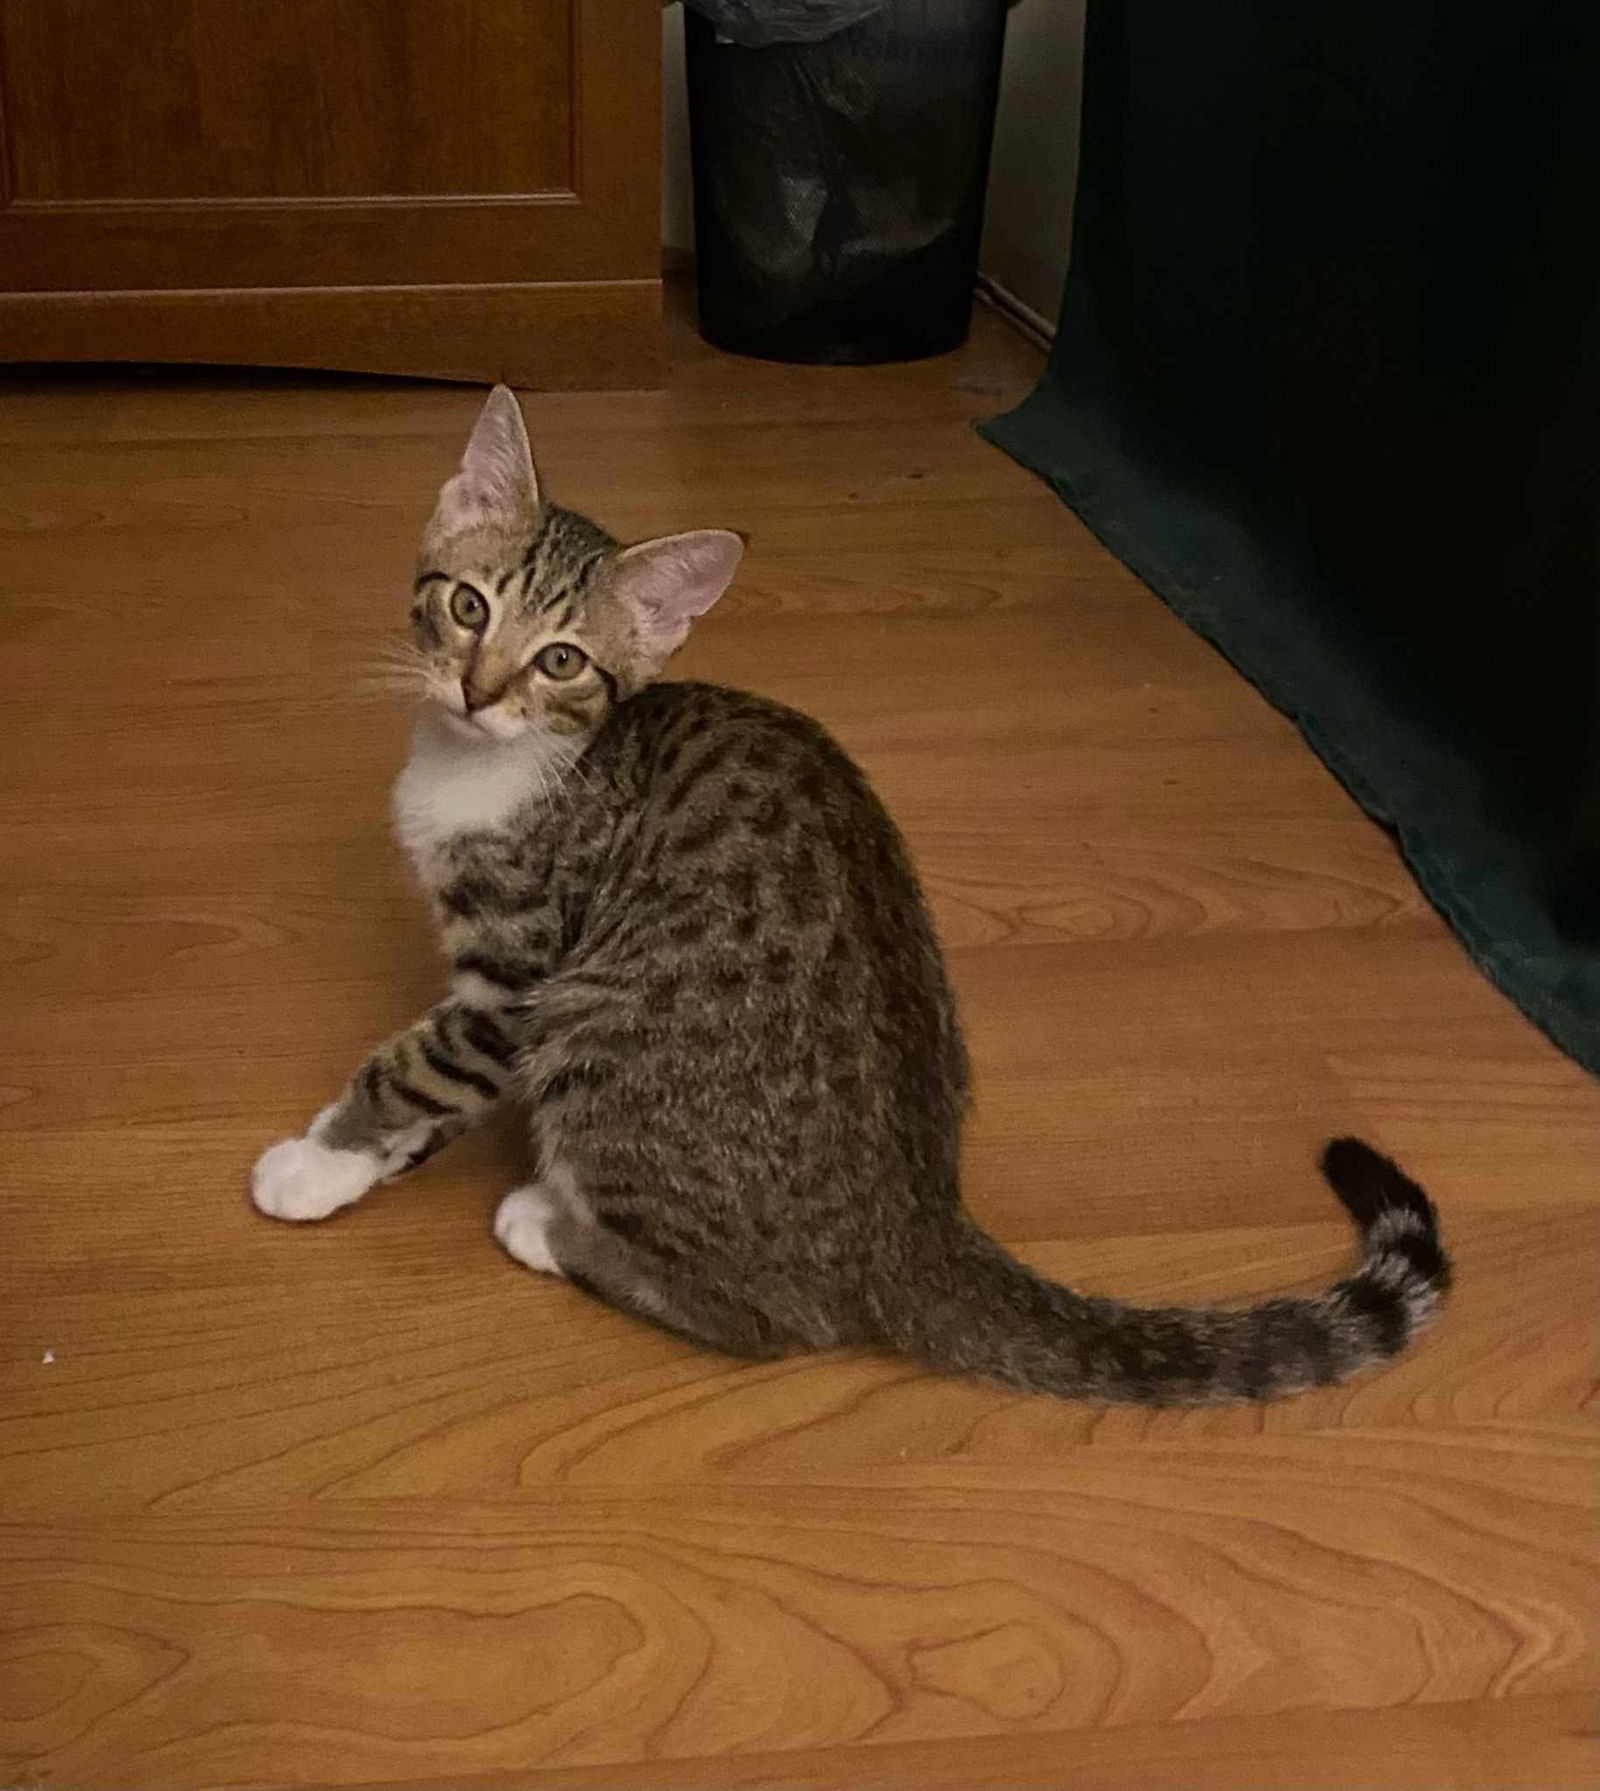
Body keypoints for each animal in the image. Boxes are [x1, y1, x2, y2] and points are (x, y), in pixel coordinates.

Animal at [252, 385, 1447, 1404]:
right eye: (467, 605)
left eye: (559, 662)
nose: (475, 686)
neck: (492, 766)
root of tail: (916, 1228)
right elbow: (433, 1078)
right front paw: (361, 1162)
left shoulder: (522, 976)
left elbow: (416, 1065)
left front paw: (321, 1156)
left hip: (595, 1035)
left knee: (774, 1320)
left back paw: (552, 1225)